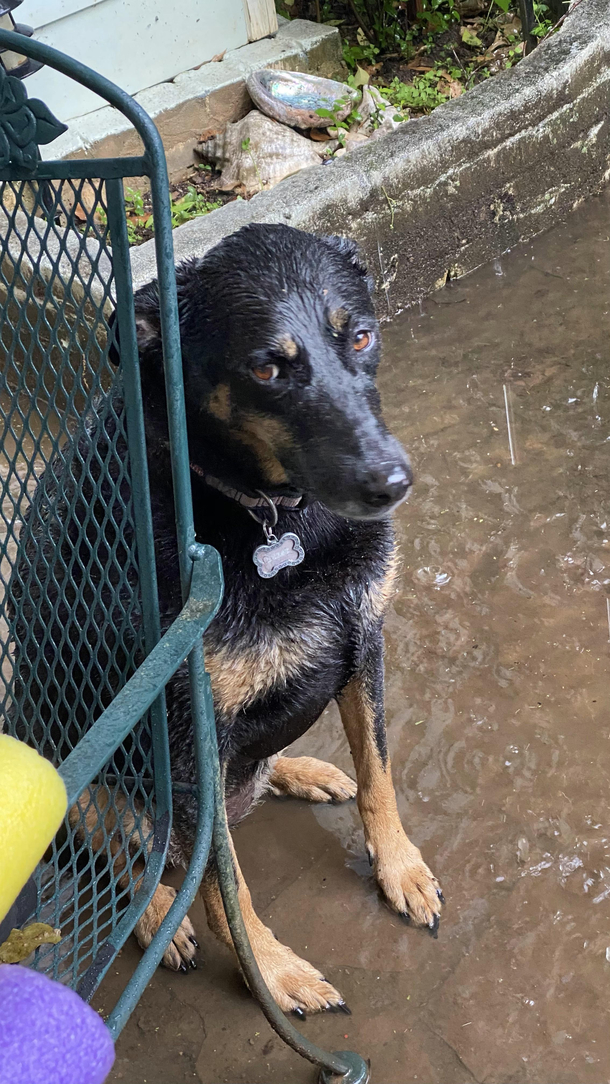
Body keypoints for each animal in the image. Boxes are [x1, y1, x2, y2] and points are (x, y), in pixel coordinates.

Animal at [10, 224, 444, 1010]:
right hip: (74, 778)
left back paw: (299, 771)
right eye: (267, 369)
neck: (272, 517)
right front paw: (269, 972)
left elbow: (378, 774)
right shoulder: (186, 742)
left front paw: (399, 868)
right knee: (128, 864)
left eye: (362, 336)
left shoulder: (363, 642)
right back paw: (159, 919)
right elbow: (224, 886)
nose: (391, 482)